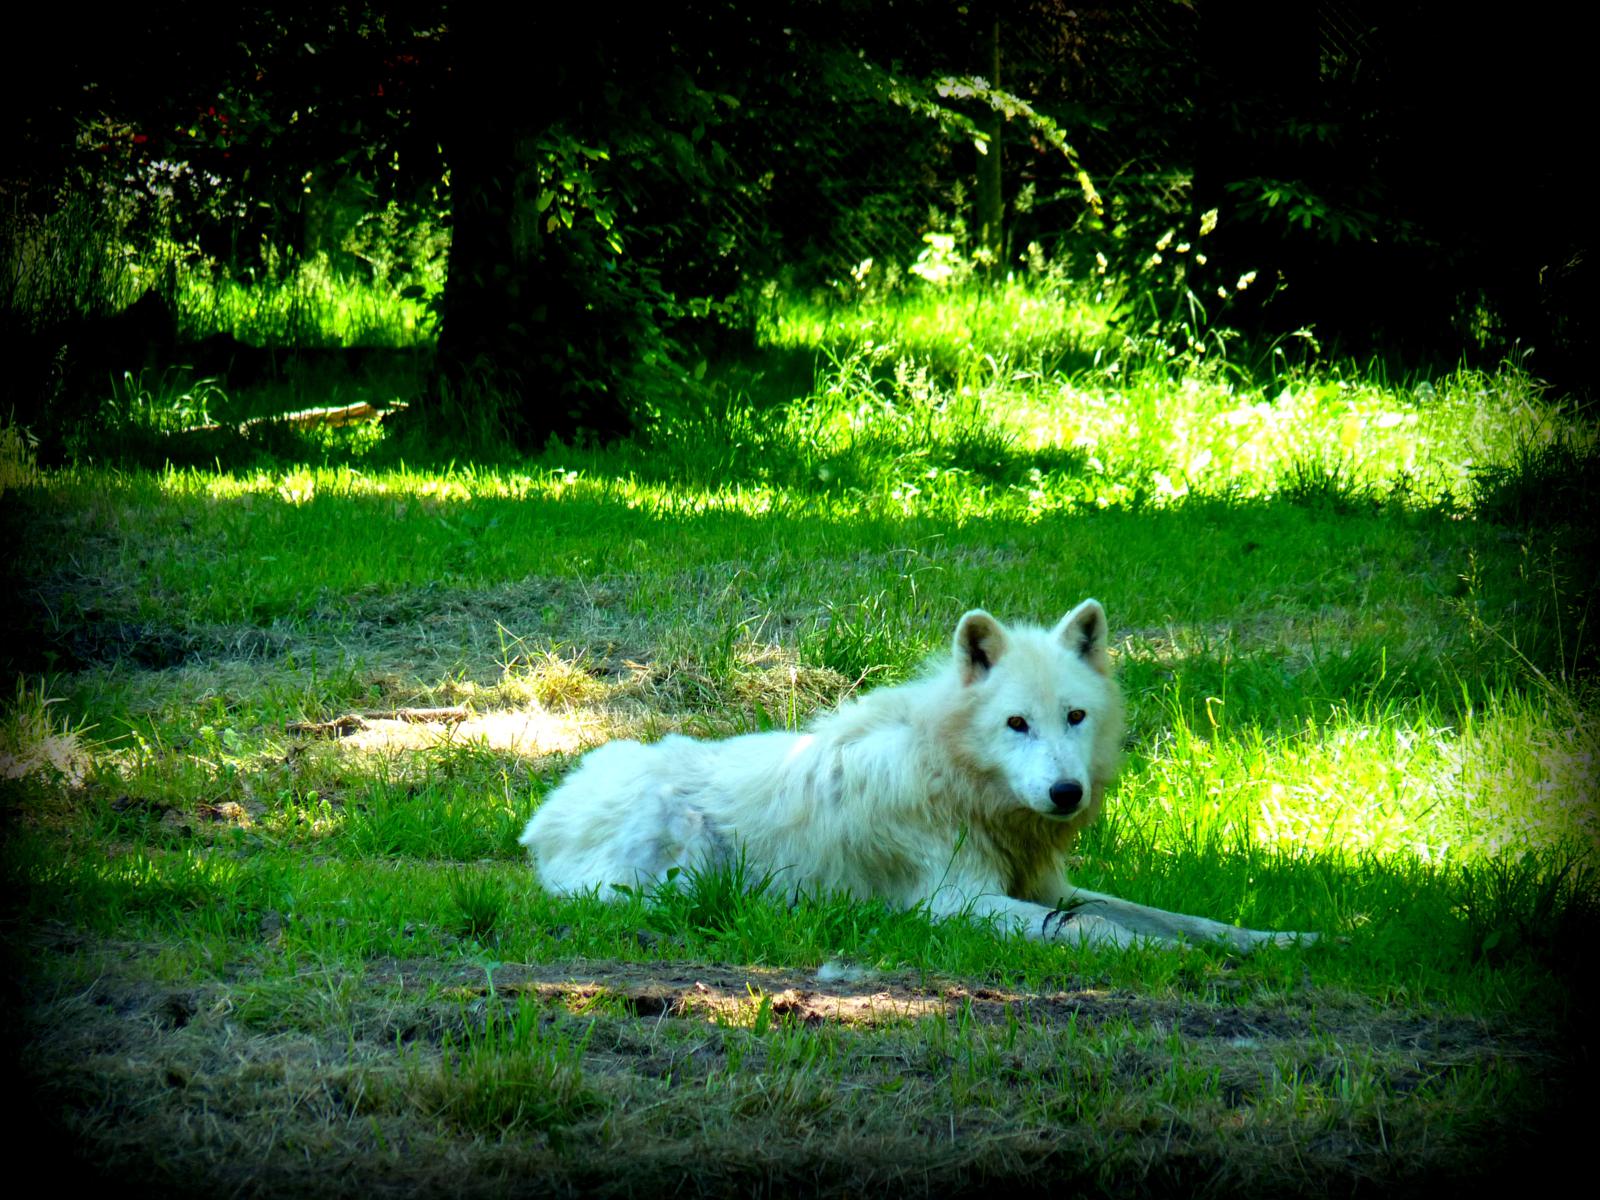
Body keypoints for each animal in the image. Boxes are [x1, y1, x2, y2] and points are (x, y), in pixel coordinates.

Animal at [518, 604, 1318, 953]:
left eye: (1075, 717)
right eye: (1016, 724)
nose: (1066, 794)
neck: (955, 780)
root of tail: (546, 811)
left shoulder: (1047, 886)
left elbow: (1177, 917)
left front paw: (1282, 941)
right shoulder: (956, 906)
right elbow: (1101, 928)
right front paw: (1180, 962)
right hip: (688, 864)